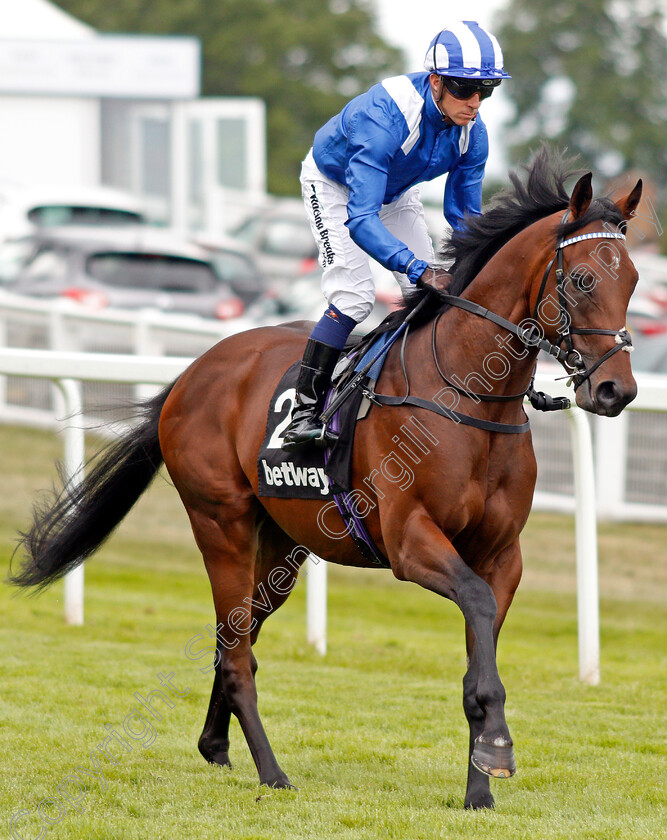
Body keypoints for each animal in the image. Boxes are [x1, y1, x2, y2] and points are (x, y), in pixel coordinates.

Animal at [10, 148, 644, 812]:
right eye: (582, 280)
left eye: (632, 281)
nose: (616, 390)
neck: (470, 397)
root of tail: (194, 371)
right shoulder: (409, 540)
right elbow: (473, 603)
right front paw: (496, 751)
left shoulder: (502, 554)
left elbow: (481, 650)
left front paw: (479, 788)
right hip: (222, 521)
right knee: (237, 655)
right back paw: (271, 772)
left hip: (280, 544)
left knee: (236, 636)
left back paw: (216, 745)